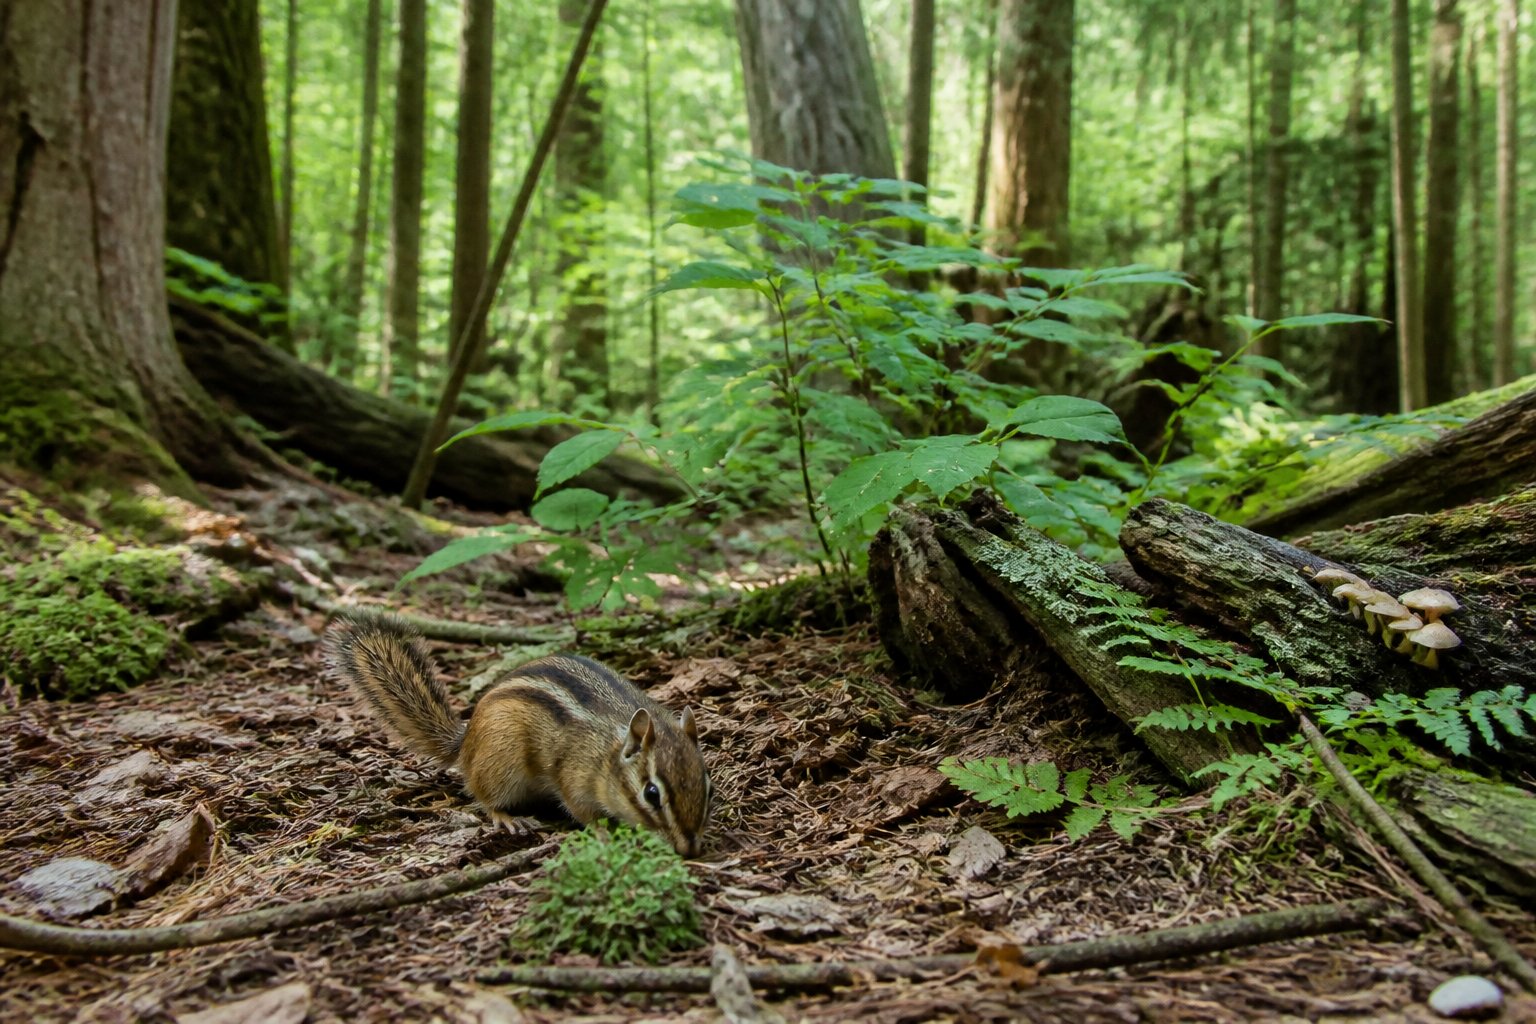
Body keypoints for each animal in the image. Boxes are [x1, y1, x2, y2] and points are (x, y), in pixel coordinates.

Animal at [323, 609, 711, 857]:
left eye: (709, 786)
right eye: (651, 794)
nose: (690, 850)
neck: (608, 751)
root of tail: (466, 741)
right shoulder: (572, 776)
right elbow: (580, 809)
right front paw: (602, 832)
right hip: (501, 761)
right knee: (484, 796)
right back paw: (508, 818)